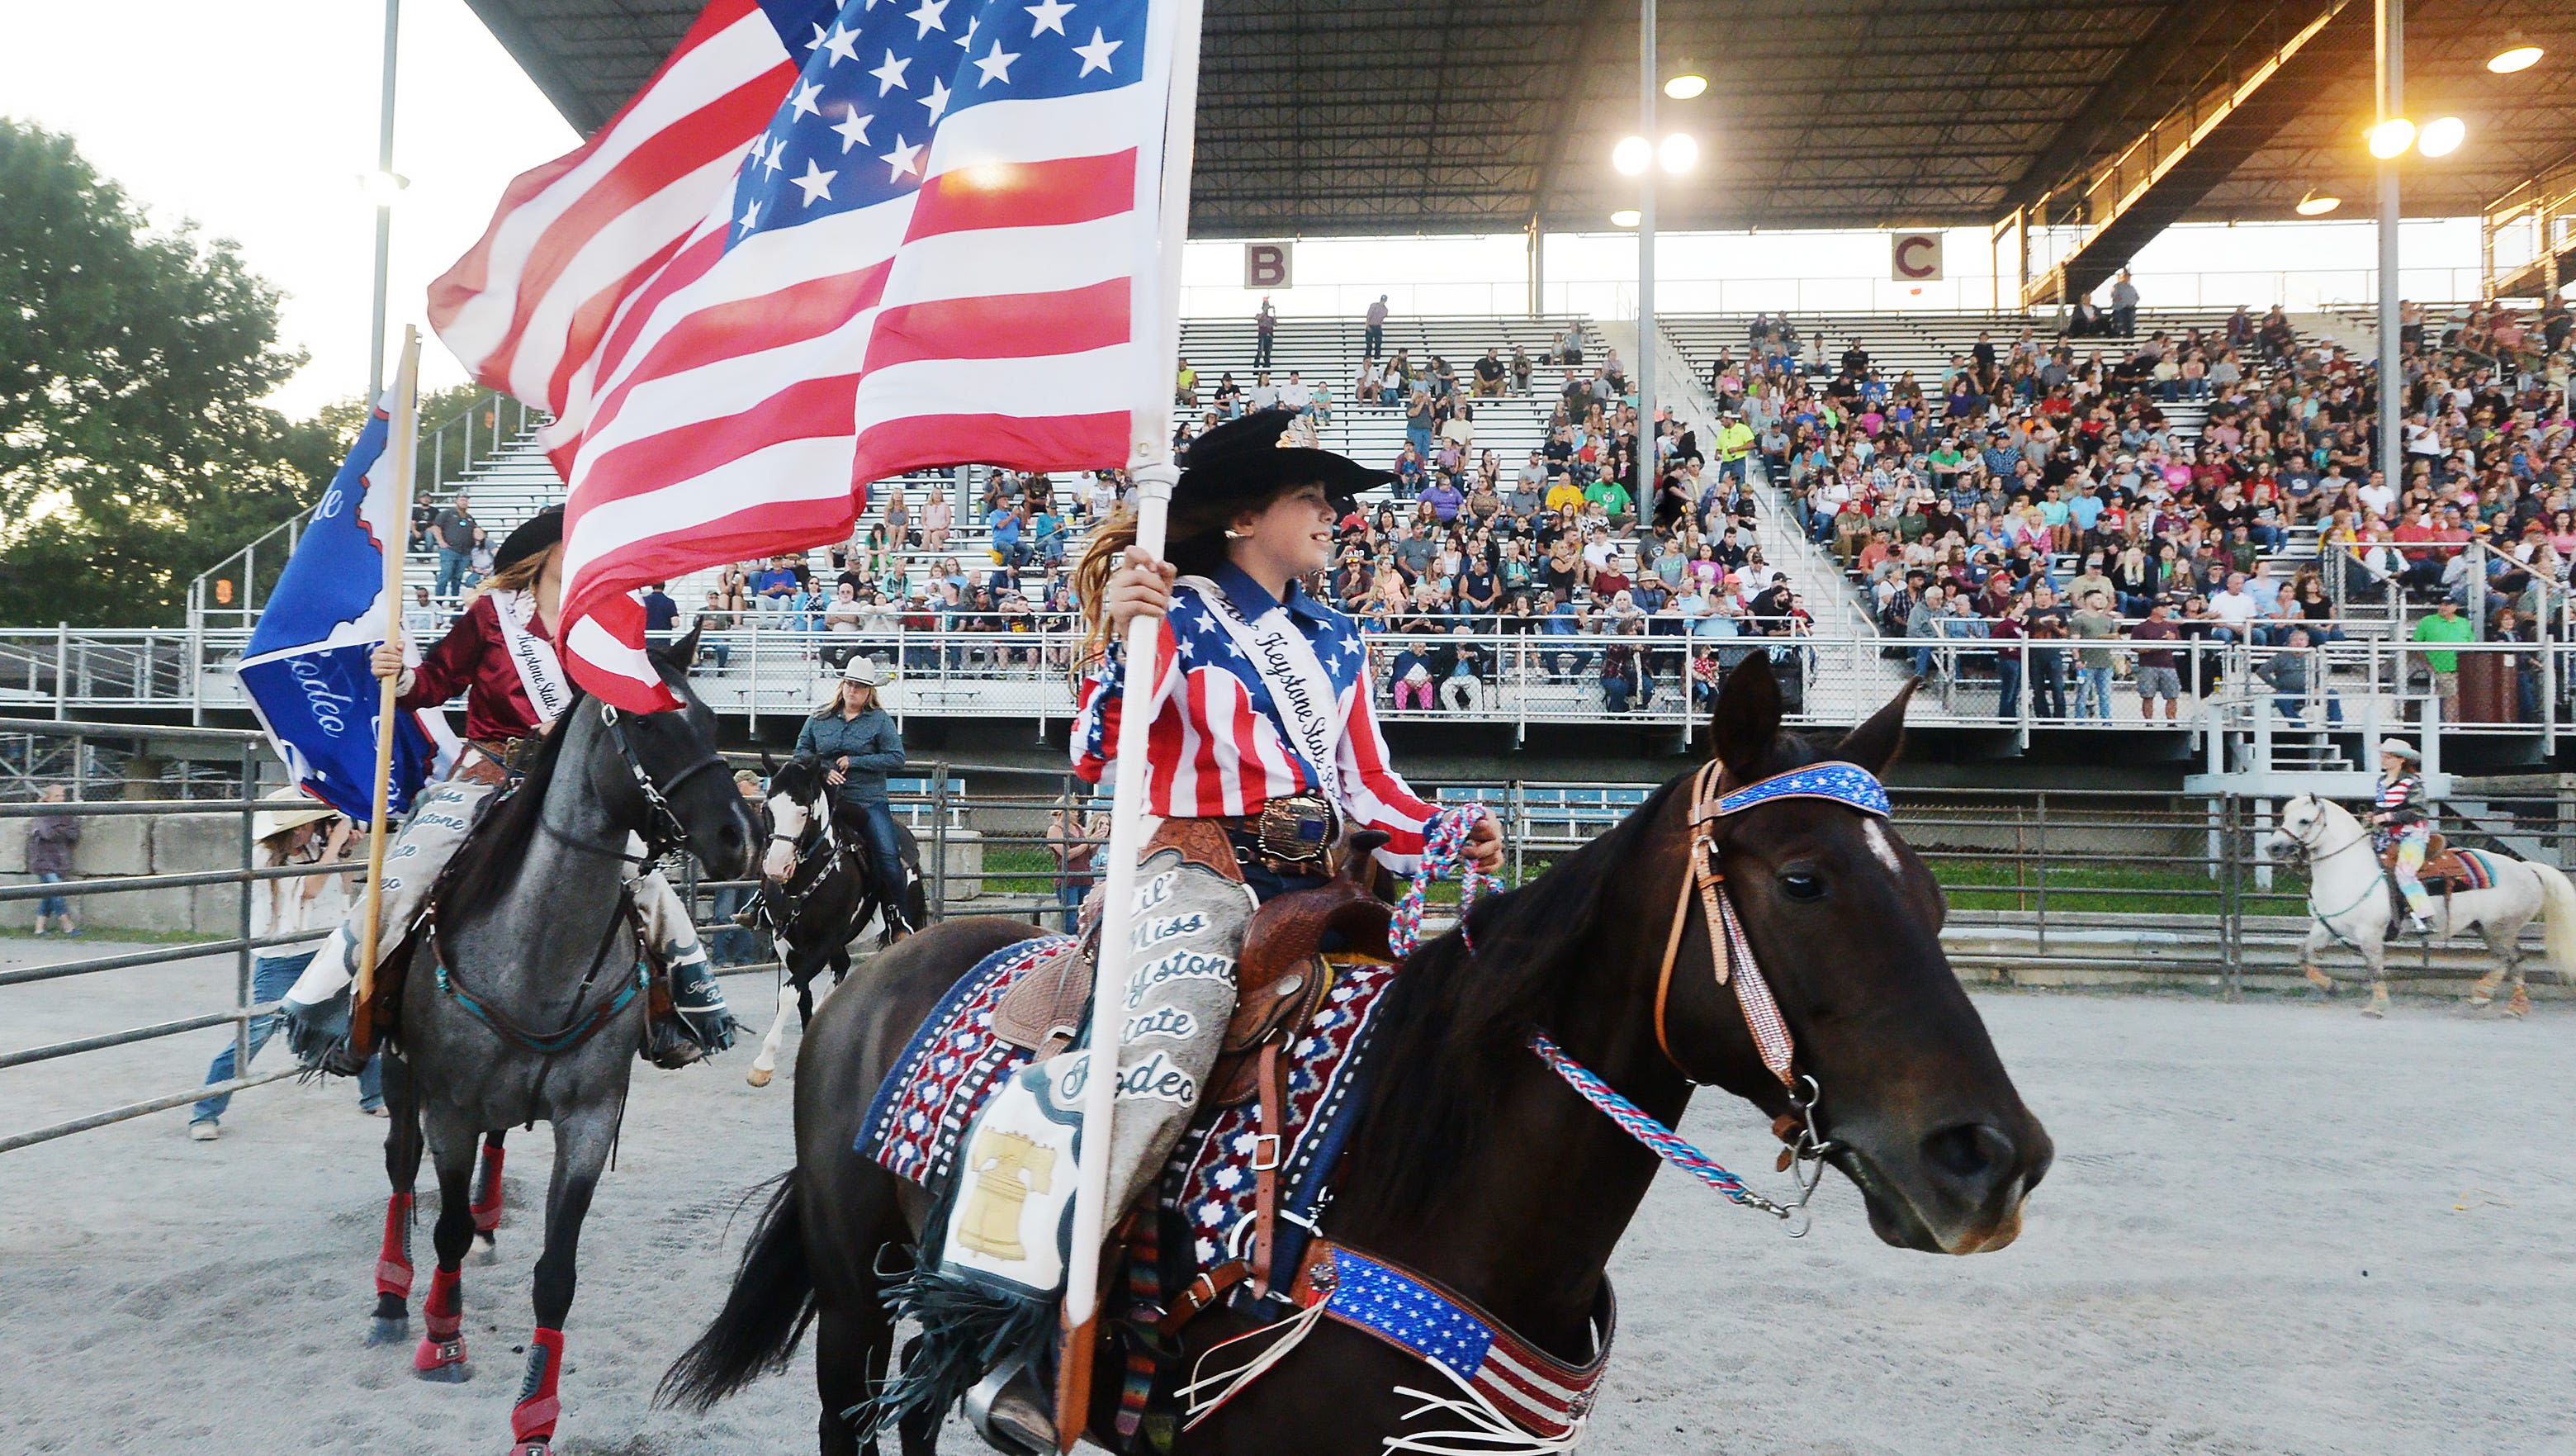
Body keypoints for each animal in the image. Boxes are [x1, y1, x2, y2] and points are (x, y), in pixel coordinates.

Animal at [371, 631, 752, 1453]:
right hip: (398, 1075)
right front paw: (442, 1338)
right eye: (644, 721)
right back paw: (390, 1297)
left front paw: (535, 1419)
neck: (537, 955)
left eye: (710, 718)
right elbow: (444, 1224)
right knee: (400, 1169)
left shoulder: (590, 1116)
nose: (743, 834)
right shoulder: (449, 1108)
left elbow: (557, 1274)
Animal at [746, 757, 927, 1082]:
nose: (777, 867)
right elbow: (801, 996)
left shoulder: (824, 941)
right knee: (842, 966)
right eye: (767, 808)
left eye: (803, 811)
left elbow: (791, 991)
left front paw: (763, 1064)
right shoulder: (788, 944)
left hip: (905, 924)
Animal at [2277, 788, 2576, 1015]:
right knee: (2509, 960)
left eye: (2304, 820)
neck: (2349, 870)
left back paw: (2509, 1005)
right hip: (2488, 928)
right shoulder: (2325, 928)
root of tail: (2529, 869)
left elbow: (2374, 969)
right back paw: (2485, 997)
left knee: (2513, 959)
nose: (2274, 847)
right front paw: (2330, 987)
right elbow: (2302, 955)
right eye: (2284, 815)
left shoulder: (2369, 933)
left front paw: (2377, 1006)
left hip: (2500, 929)